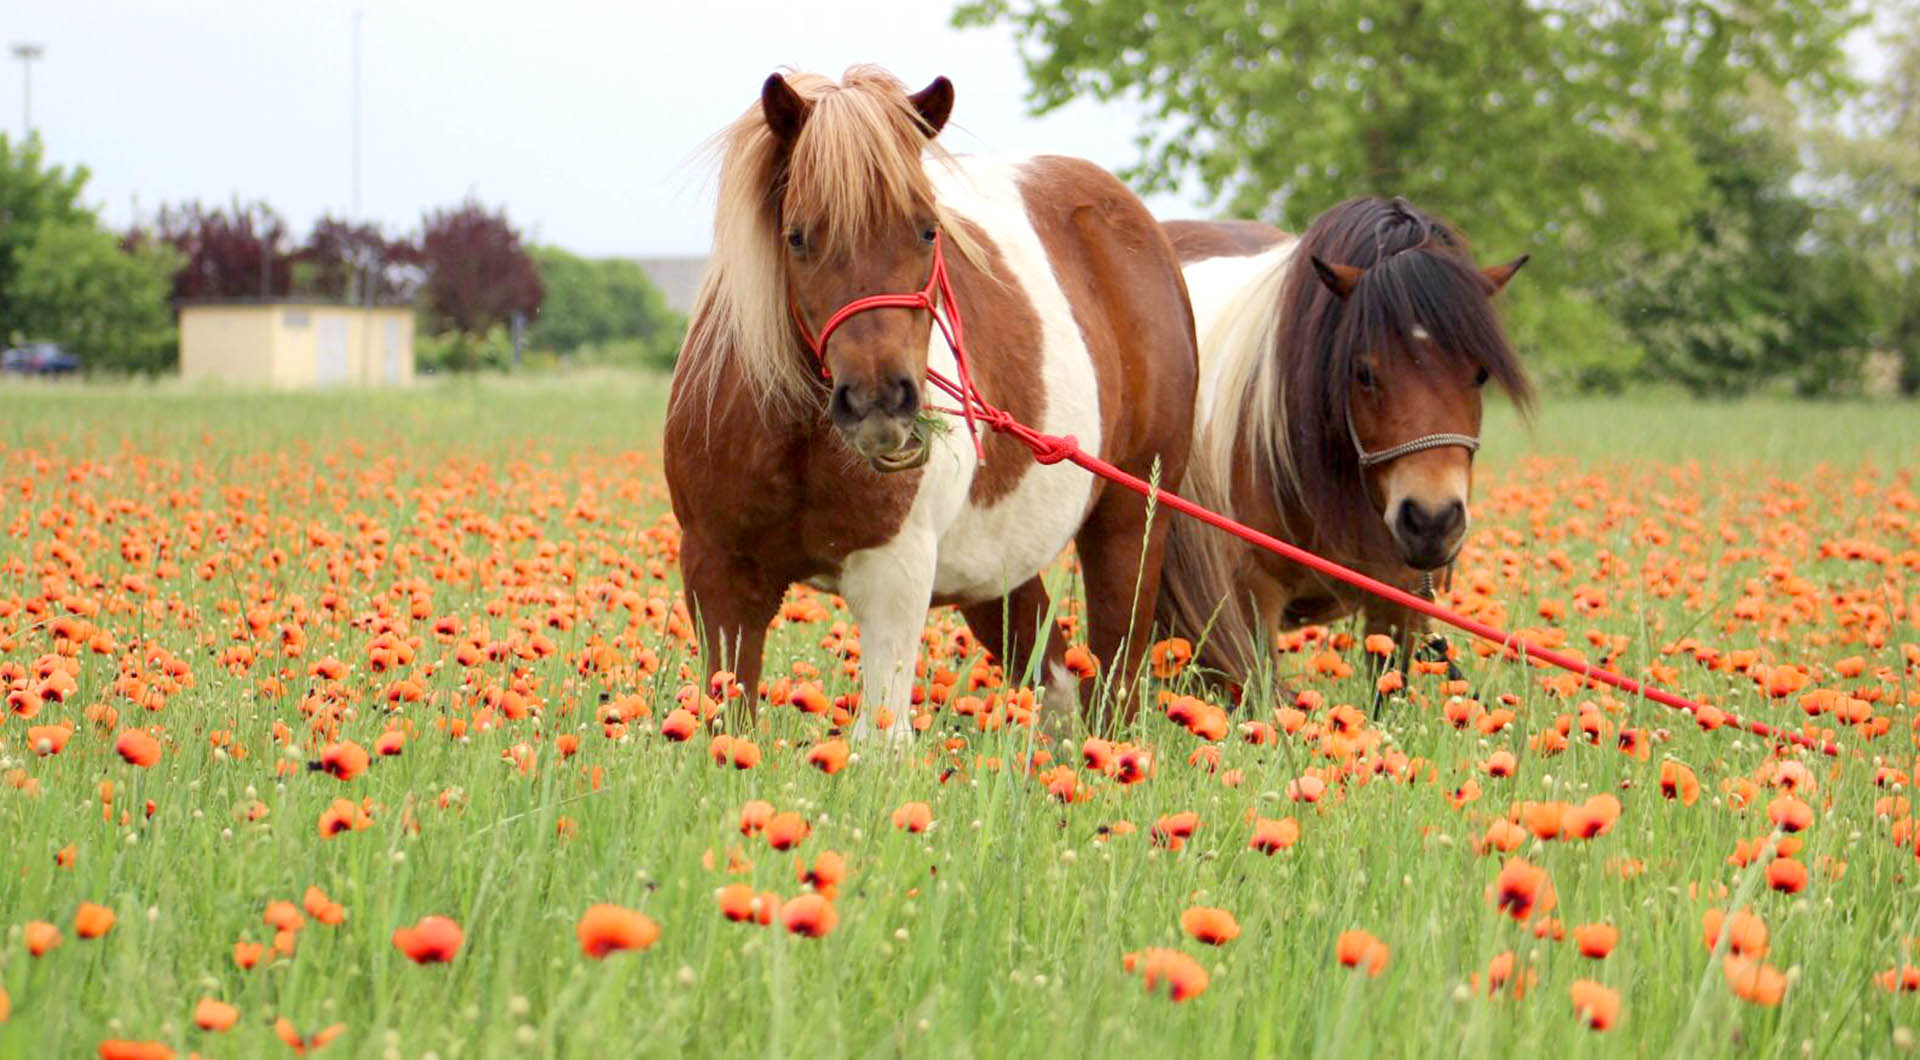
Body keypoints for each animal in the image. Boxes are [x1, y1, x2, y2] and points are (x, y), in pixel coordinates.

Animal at [668, 68, 1190, 737]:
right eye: (798, 236)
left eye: (927, 229)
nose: (879, 401)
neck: (792, 438)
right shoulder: (719, 576)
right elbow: (727, 722)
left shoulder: (892, 575)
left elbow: (880, 741)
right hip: (1000, 570)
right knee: (1054, 682)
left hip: (1127, 528)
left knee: (1114, 686)